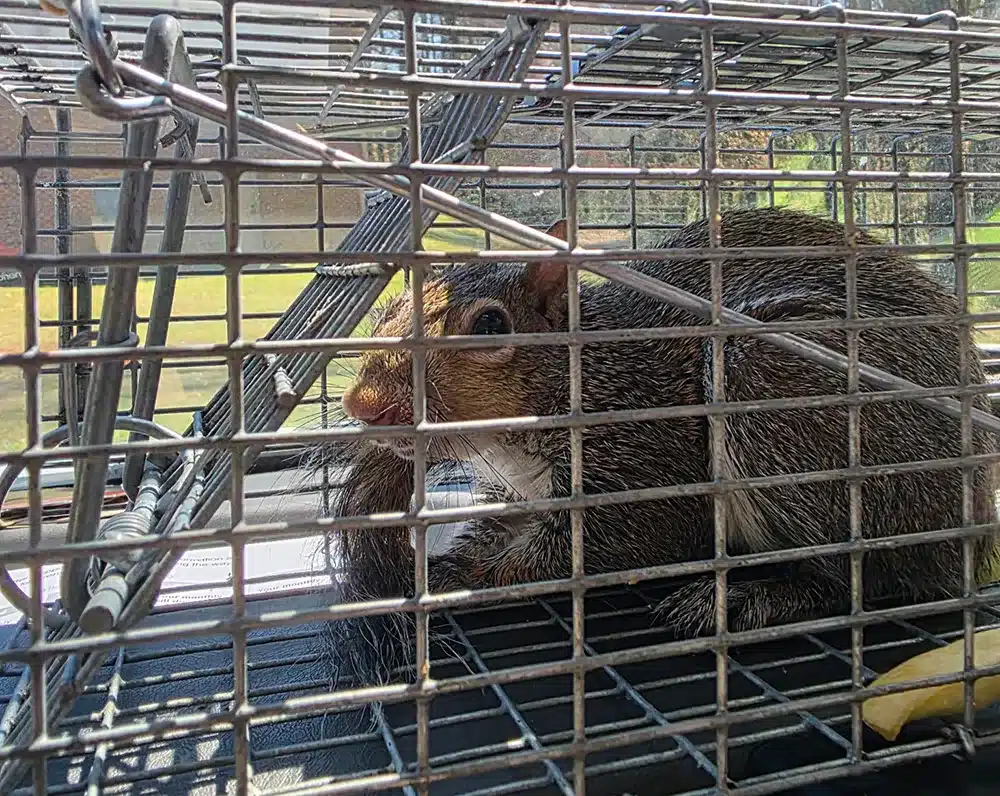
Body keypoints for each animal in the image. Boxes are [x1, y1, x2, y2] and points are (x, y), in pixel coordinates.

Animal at [328, 207, 999, 672]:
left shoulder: (645, 465)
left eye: (491, 325)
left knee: (864, 581)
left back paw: (748, 598)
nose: (363, 406)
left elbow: (586, 551)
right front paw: (456, 553)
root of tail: (969, 534)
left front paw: (460, 575)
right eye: (386, 309)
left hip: (778, 395)